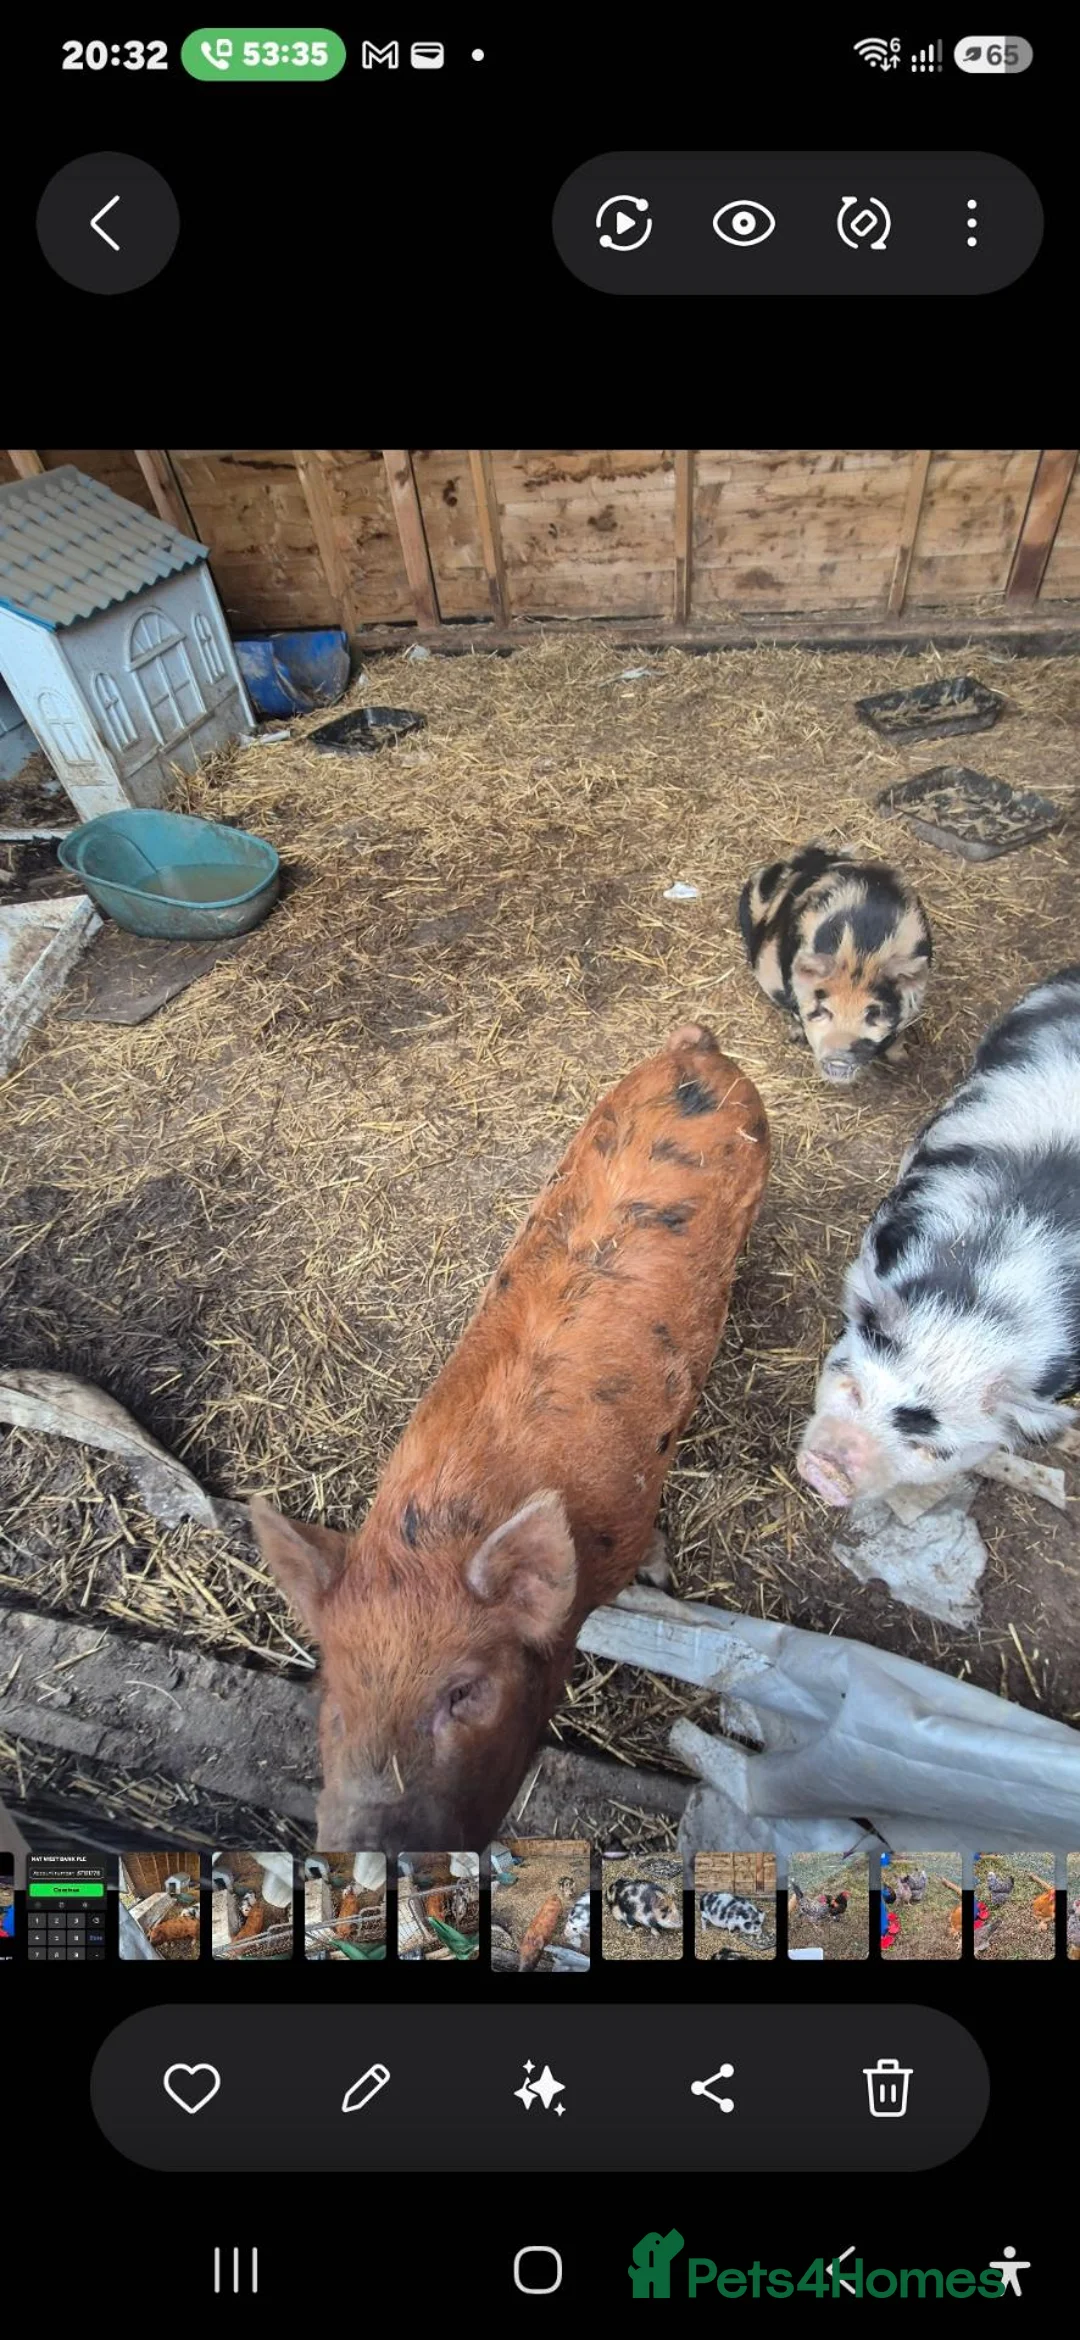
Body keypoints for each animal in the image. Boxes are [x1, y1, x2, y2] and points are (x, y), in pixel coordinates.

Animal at [738, 842, 931, 1084]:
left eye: (873, 1013)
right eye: (824, 1010)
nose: (839, 1058)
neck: (862, 952)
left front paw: (902, 1059)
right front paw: (797, 1036)